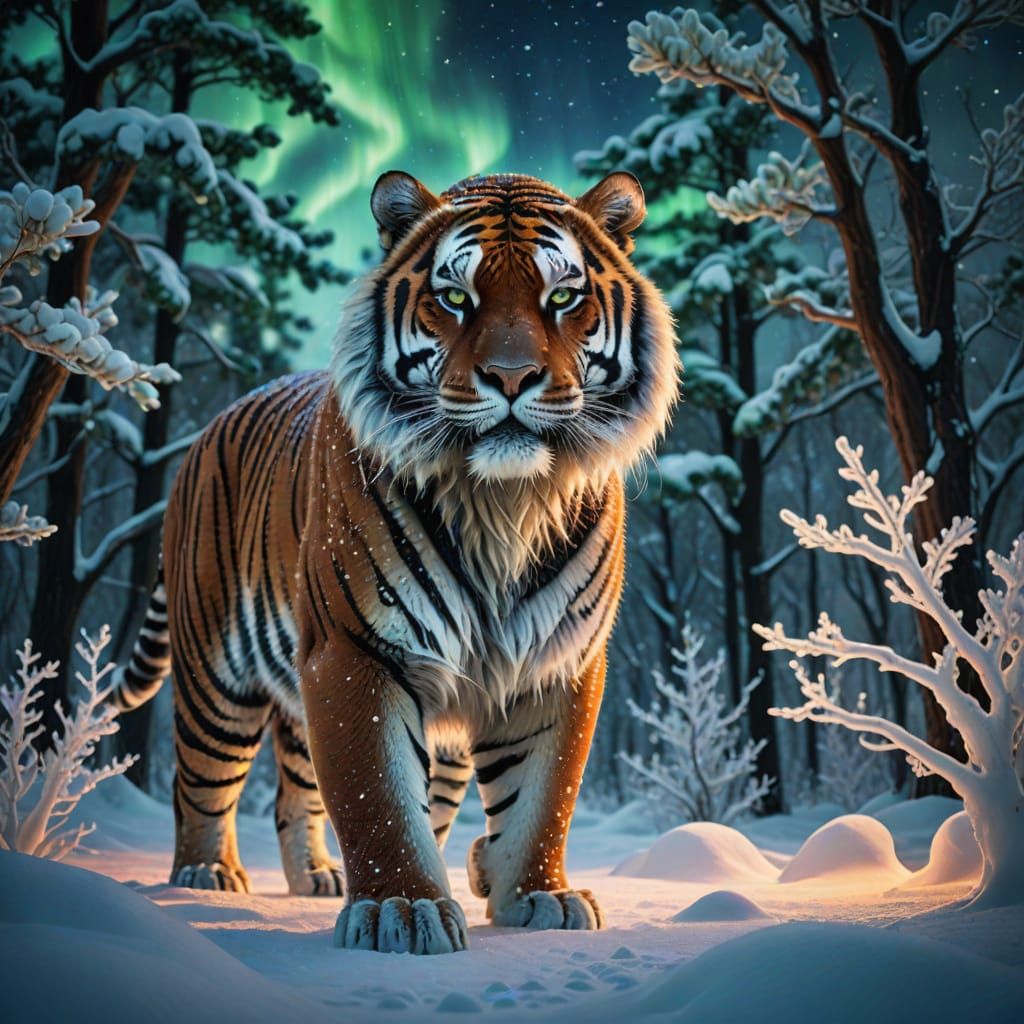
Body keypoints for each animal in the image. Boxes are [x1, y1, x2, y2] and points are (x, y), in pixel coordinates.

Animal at [114, 170, 679, 954]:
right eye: (456, 297)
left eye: (563, 297)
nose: (511, 377)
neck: (504, 501)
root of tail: (210, 427)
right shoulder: (355, 652)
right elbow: (376, 794)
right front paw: (402, 911)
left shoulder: (557, 661)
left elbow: (543, 795)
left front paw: (537, 895)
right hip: (216, 678)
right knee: (199, 781)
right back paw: (205, 876)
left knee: (296, 794)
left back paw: (319, 879)